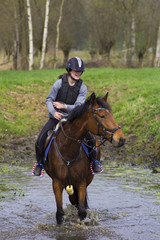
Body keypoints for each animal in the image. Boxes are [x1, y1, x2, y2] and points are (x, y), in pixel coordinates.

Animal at [43, 92, 125, 225]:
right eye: (102, 116)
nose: (121, 139)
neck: (67, 149)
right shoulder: (57, 183)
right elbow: (60, 214)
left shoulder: (81, 182)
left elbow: (82, 212)